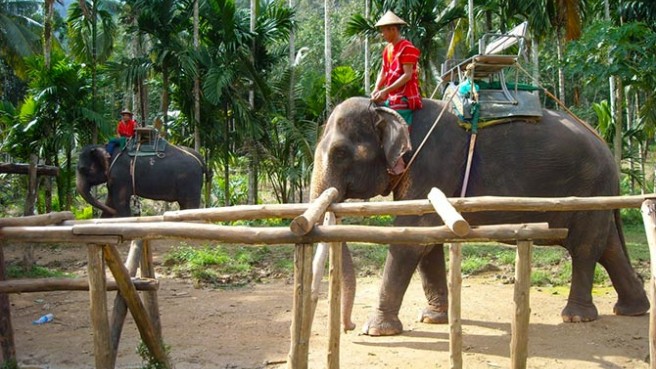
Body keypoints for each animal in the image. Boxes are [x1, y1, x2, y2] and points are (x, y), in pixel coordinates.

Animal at [76, 140, 205, 217]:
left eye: (83, 169)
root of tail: (200, 160)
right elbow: (110, 201)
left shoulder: (121, 176)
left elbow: (120, 201)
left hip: (190, 181)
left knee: (190, 205)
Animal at [312, 96, 652, 334]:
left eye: (339, 153)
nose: (349, 327)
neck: (393, 107)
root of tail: (605, 145)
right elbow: (426, 240)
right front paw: (432, 318)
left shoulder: (432, 163)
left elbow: (412, 239)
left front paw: (377, 331)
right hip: (597, 197)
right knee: (608, 247)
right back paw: (633, 309)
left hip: (589, 191)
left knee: (585, 248)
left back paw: (576, 317)